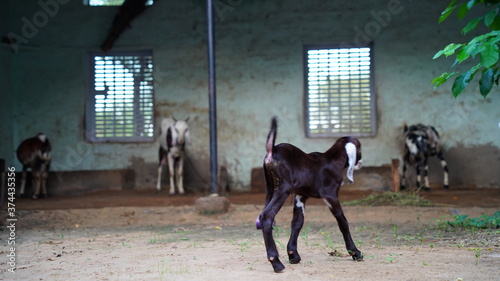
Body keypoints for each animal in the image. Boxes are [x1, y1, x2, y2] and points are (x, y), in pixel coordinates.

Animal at [258, 116, 364, 272]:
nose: (360, 163)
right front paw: (355, 252)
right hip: (283, 189)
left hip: (270, 188)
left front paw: (293, 255)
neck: (332, 159)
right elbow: (342, 221)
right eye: (360, 148)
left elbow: (297, 222)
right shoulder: (330, 195)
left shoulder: (300, 195)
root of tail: (272, 150)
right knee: (267, 216)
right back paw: (276, 262)